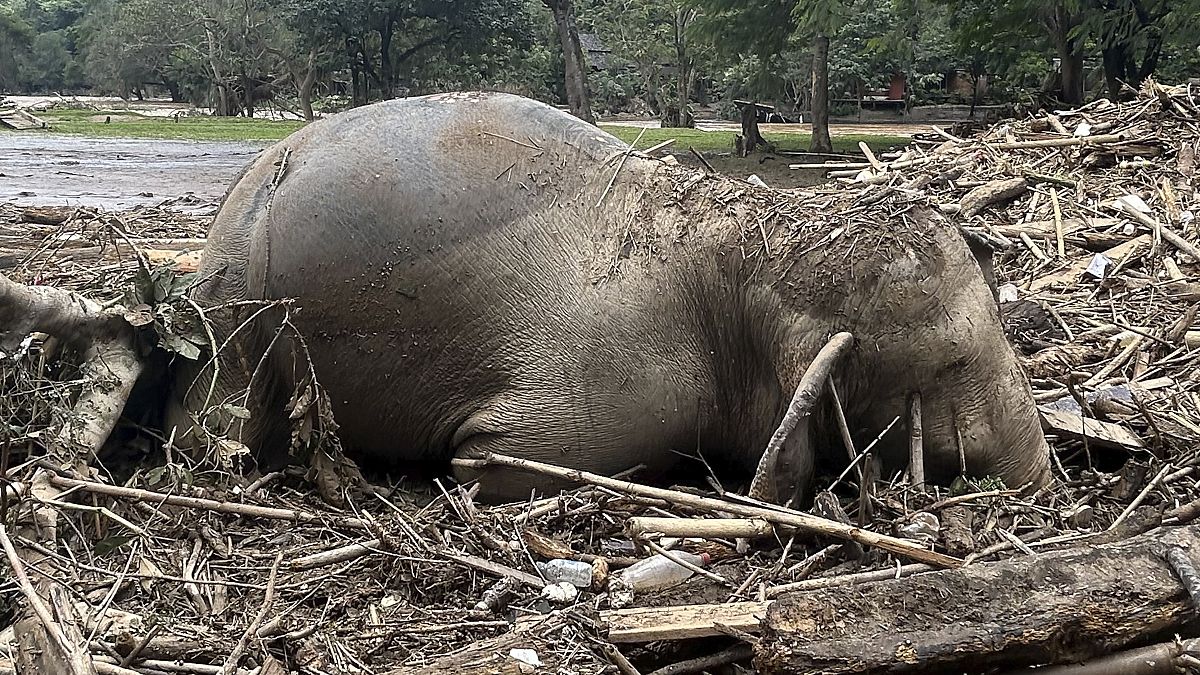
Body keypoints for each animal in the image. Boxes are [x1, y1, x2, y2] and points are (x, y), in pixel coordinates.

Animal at [166, 89, 1051, 502]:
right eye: (952, 361)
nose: (1048, 475)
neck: (746, 243)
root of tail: (246, 187)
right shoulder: (624, 392)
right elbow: (487, 460)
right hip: (236, 312)